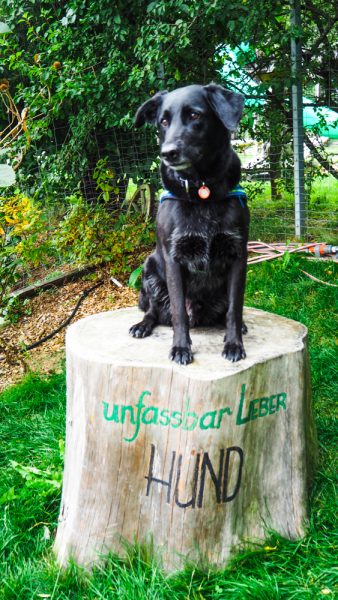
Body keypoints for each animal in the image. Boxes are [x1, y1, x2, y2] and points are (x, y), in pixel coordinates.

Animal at [131, 83, 250, 366]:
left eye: (195, 115)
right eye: (163, 121)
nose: (167, 153)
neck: (201, 190)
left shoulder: (238, 255)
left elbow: (235, 308)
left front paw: (233, 344)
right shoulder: (173, 259)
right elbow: (178, 313)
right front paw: (181, 348)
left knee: (224, 312)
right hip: (149, 268)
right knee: (154, 310)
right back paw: (143, 325)